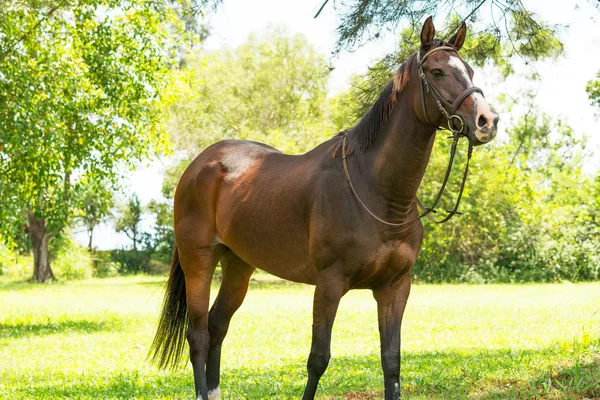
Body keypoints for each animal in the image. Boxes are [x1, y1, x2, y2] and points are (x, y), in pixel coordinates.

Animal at [149, 15, 496, 400]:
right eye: (437, 71)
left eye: (470, 70)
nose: (486, 121)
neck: (379, 193)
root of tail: (199, 165)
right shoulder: (329, 283)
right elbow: (318, 358)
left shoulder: (395, 287)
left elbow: (391, 362)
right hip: (199, 260)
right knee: (197, 335)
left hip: (239, 265)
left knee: (217, 326)